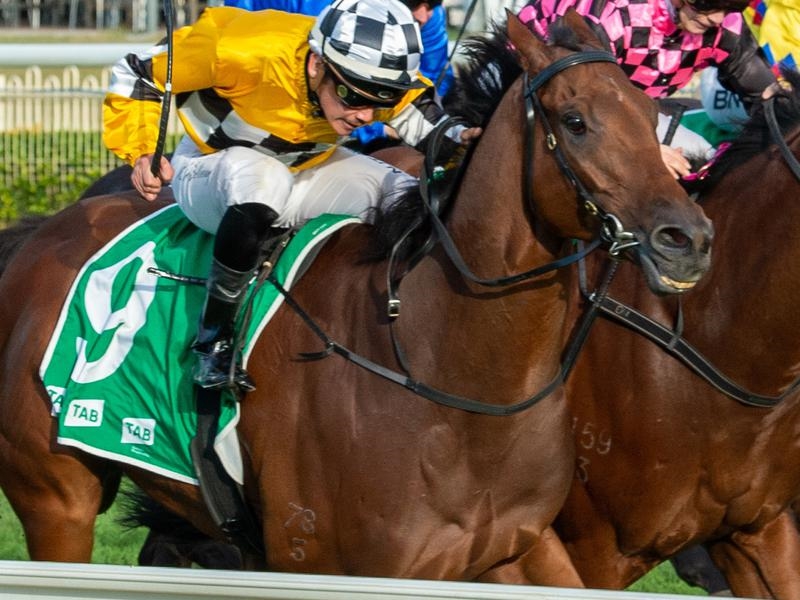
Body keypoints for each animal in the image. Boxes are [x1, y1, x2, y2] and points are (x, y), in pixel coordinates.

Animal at [0, 12, 711, 583]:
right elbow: (147, 69)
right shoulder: (330, 560)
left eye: (653, 118)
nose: (688, 239)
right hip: (57, 500)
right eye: (576, 121)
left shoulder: (517, 549)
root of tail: (39, 233)